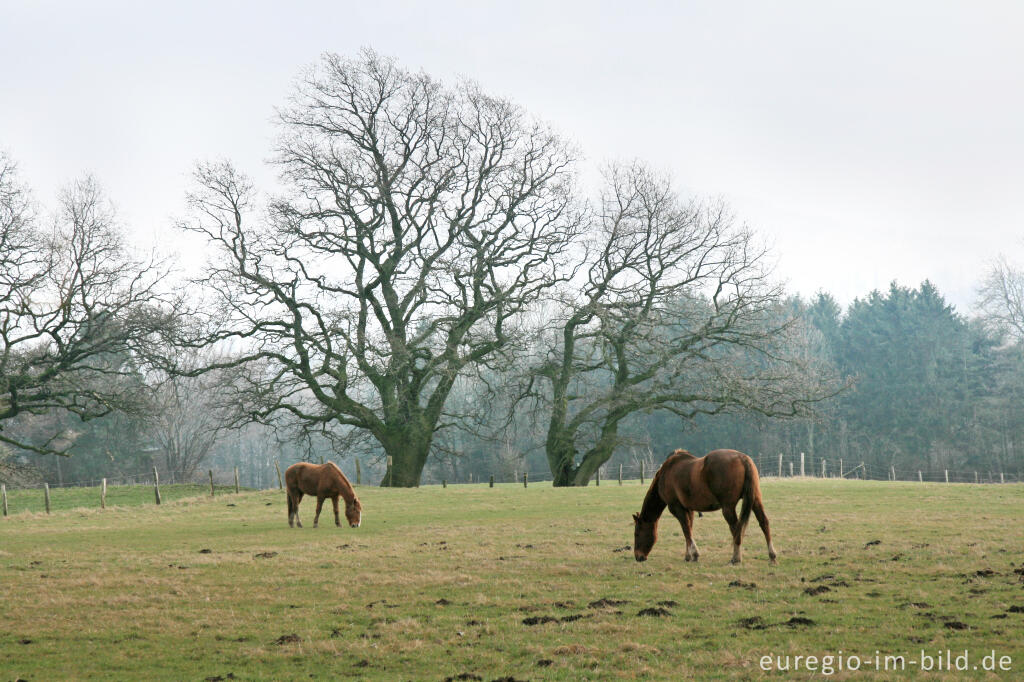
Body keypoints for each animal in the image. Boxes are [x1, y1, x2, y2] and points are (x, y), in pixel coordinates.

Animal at [630, 446, 774, 561]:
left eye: (637, 534)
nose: (638, 557)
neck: (666, 473)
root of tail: (743, 458)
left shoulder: (676, 507)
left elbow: (686, 529)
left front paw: (694, 554)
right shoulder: (689, 509)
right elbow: (689, 530)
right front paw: (688, 555)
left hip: (728, 507)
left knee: (736, 529)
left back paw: (736, 557)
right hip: (755, 500)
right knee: (763, 522)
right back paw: (772, 555)